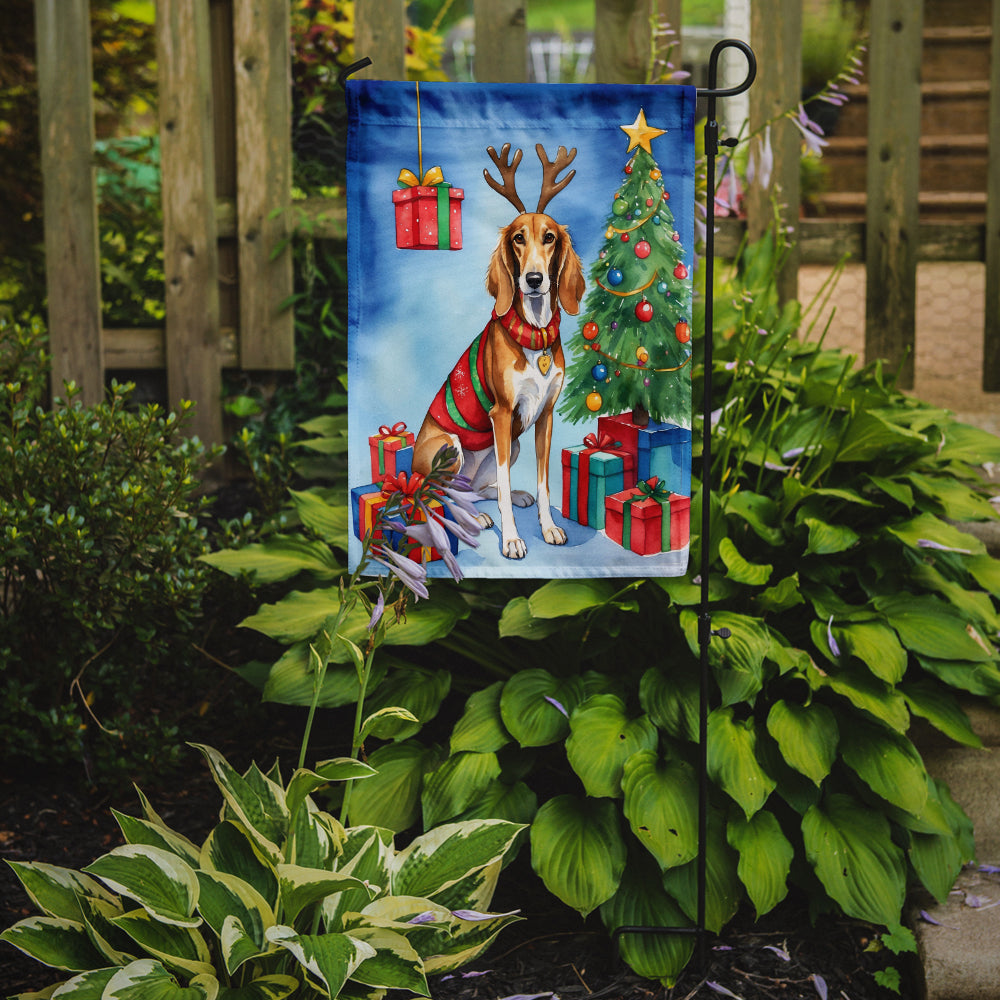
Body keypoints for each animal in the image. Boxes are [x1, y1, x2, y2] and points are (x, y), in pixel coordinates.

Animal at [412, 145, 584, 560]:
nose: (534, 279)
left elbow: (543, 483)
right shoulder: (502, 415)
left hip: (513, 443)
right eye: (518, 238)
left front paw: (548, 527)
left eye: (550, 237)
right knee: (442, 495)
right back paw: (474, 518)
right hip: (450, 447)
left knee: (475, 490)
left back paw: (495, 505)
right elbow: (503, 486)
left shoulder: (544, 417)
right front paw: (511, 540)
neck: (534, 333)